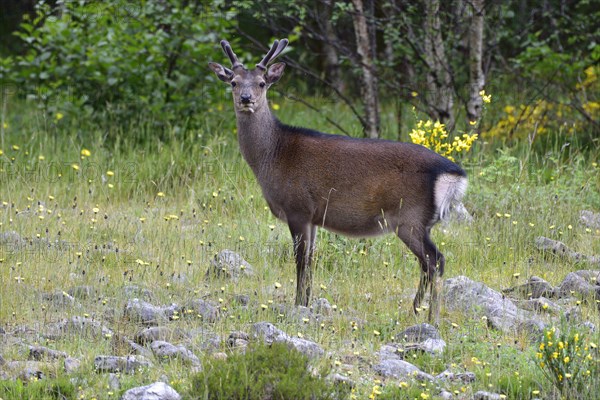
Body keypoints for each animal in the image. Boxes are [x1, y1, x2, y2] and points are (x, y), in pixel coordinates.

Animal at [209, 39, 466, 324]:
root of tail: (454, 174)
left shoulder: (298, 207)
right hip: (419, 222)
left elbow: (300, 261)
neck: (273, 157)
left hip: (410, 217)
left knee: (436, 260)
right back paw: (415, 309)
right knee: (427, 263)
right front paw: (306, 302)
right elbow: (311, 260)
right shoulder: (312, 216)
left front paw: (298, 304)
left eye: (262, 82)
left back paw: (432, 317)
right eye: (234, 82)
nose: (246, 99)